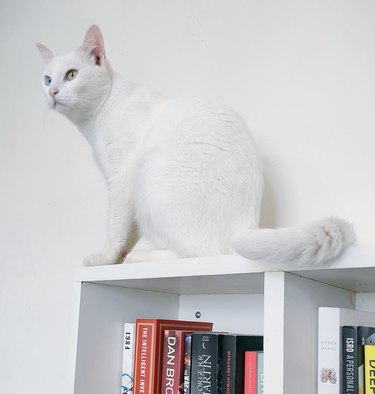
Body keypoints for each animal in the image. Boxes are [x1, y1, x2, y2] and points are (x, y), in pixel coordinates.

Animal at [36, 26, 356, 266]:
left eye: (72, 74)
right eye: (47, 78)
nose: (52, 92)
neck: (97, 118)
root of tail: (246, 224)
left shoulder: (122, 180)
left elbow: (116, 227)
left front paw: (105, 258)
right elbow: (129, 229)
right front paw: (116, 257)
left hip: (150, 178)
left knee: (200, 252)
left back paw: (141, 257)